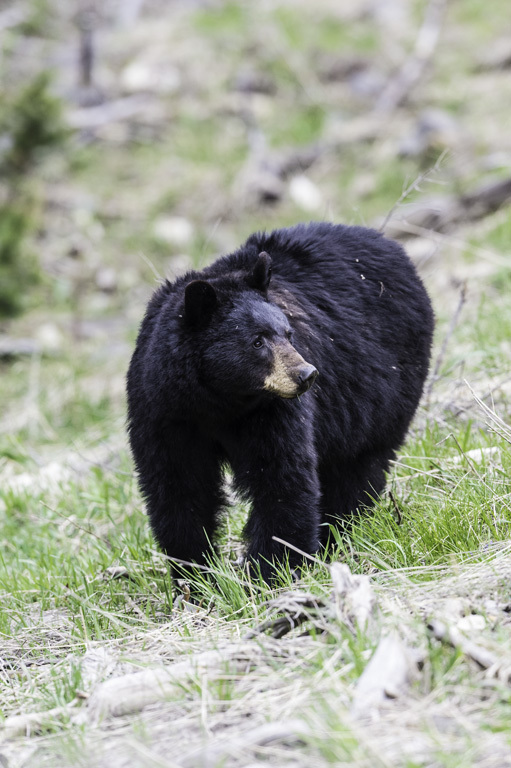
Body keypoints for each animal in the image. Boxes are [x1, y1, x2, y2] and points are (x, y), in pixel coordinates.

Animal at [126, 222, 434, 584]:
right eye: (257, 341)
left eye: (288, 332)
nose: (307, 374)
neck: (219, 402)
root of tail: (388, 244)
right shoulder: (163, 411)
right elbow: (179, 488)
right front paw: (194, 578)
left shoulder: (272, 411)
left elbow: (281, 478)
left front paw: (271, 573)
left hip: (384, 391)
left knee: (357, 467)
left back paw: (336, 536)